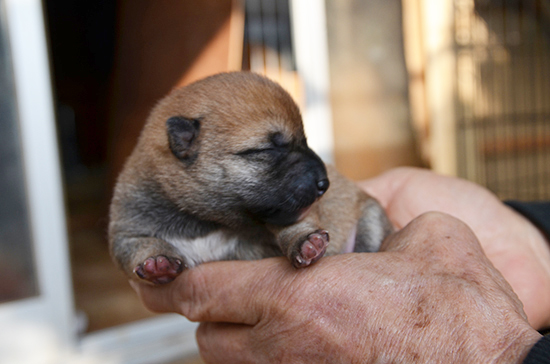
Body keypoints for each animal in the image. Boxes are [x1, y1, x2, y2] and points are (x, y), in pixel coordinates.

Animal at [110, 72, 394, 284]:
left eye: (305, 142)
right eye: (266, 149)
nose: (324, 184)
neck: (207, 221)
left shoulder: (296, 212)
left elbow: (297, 225)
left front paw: (305, 243)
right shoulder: (127, 228)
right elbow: (136, 246)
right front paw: (157, 263)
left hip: (370, 218)